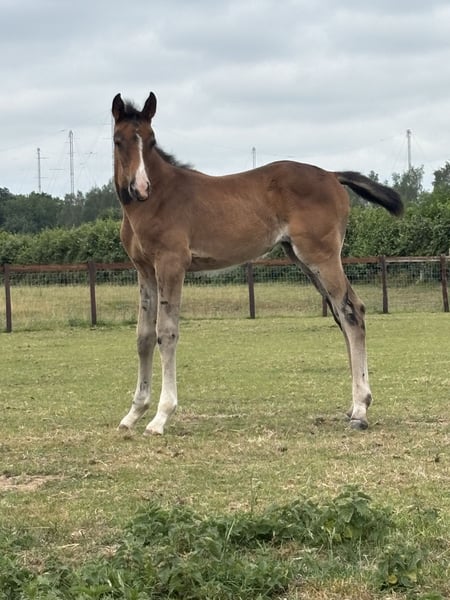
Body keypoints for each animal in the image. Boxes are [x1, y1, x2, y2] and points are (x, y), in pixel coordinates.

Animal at [111, 92, 403, 436]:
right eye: (118, 140)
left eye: (152, 140)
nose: (140, 188)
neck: (156, 200)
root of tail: (333, 175)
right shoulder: (145, 270)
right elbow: (143, 336)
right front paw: (133, 413)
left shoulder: (172, 264)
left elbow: (166, 333)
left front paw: (160, 417)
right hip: (303, 258)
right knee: (342, 314)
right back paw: (354, 405)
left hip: (322, 257)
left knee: (351, 312)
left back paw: (360, 411)